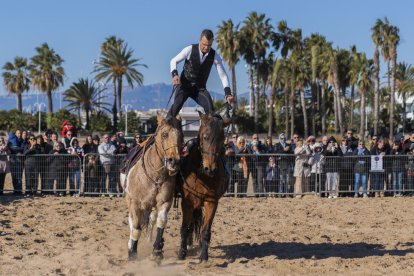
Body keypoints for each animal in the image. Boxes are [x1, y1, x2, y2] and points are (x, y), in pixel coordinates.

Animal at [121, 115, 183, 262]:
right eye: (164, 134)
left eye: (181, 135)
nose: (174, 161)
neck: (155, 176)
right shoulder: (135, 203)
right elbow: (136, 227)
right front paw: (132, 252)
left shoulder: (165, 202)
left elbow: (161, 221)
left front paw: (156, 251)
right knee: (132, 223)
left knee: (152, 220)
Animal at [176, 112, 231, 260]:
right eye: (205, 137)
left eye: (222, 139)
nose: (210, 168)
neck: (201, 174)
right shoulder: (187, 202)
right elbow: (184, 228)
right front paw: (181, 253)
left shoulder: (211, 202)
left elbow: (206, 230)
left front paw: (204, 255)